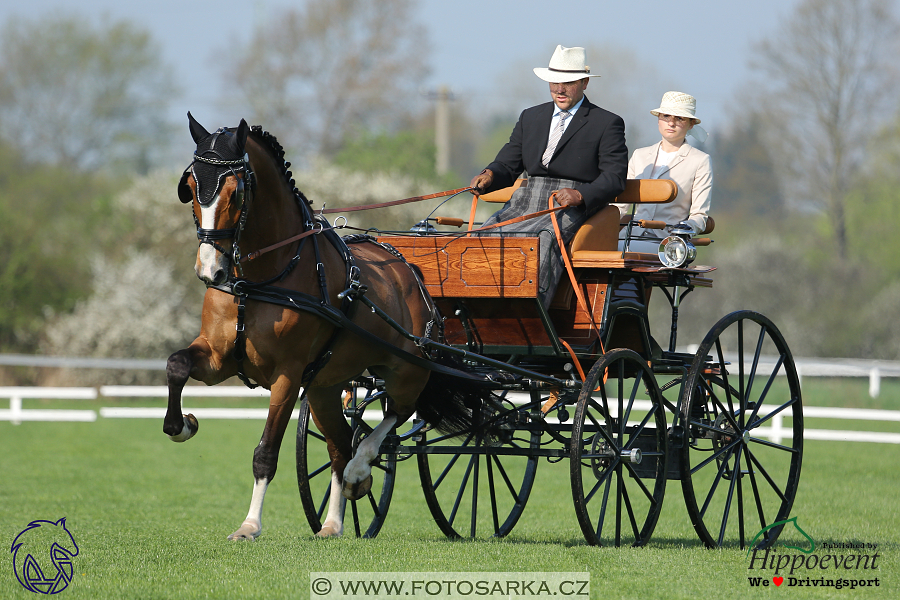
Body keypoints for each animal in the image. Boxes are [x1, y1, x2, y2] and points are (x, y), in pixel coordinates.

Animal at [165, 112, 474, 540]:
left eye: (236, 192)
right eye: (192, 186)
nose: (211, 270)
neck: (259, 281)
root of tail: (410, 274)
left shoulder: (288, 374)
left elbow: (265, 453)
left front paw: (249, 526)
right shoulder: (217, 358)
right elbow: (176, 365)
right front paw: (183, 425)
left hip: (405, 370)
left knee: (396, 416)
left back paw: (360, 471)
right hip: (326, 387)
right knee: (340, 446)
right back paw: (333, 521)